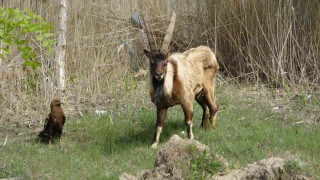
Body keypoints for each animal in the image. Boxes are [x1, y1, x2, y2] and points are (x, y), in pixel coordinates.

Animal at [144, 11, 219, 148]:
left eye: (165, 62)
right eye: (152, 62)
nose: (158, 74)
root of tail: (210, 52)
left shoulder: (187, 100)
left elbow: (188, 121)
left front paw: (190, 139)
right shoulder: (161, 106)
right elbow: (158, 125)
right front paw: (153, 144)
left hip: (208, 87)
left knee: (213, 107)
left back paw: (211, 129)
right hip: (199, 94)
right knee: (205, 107)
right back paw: (202, 127)